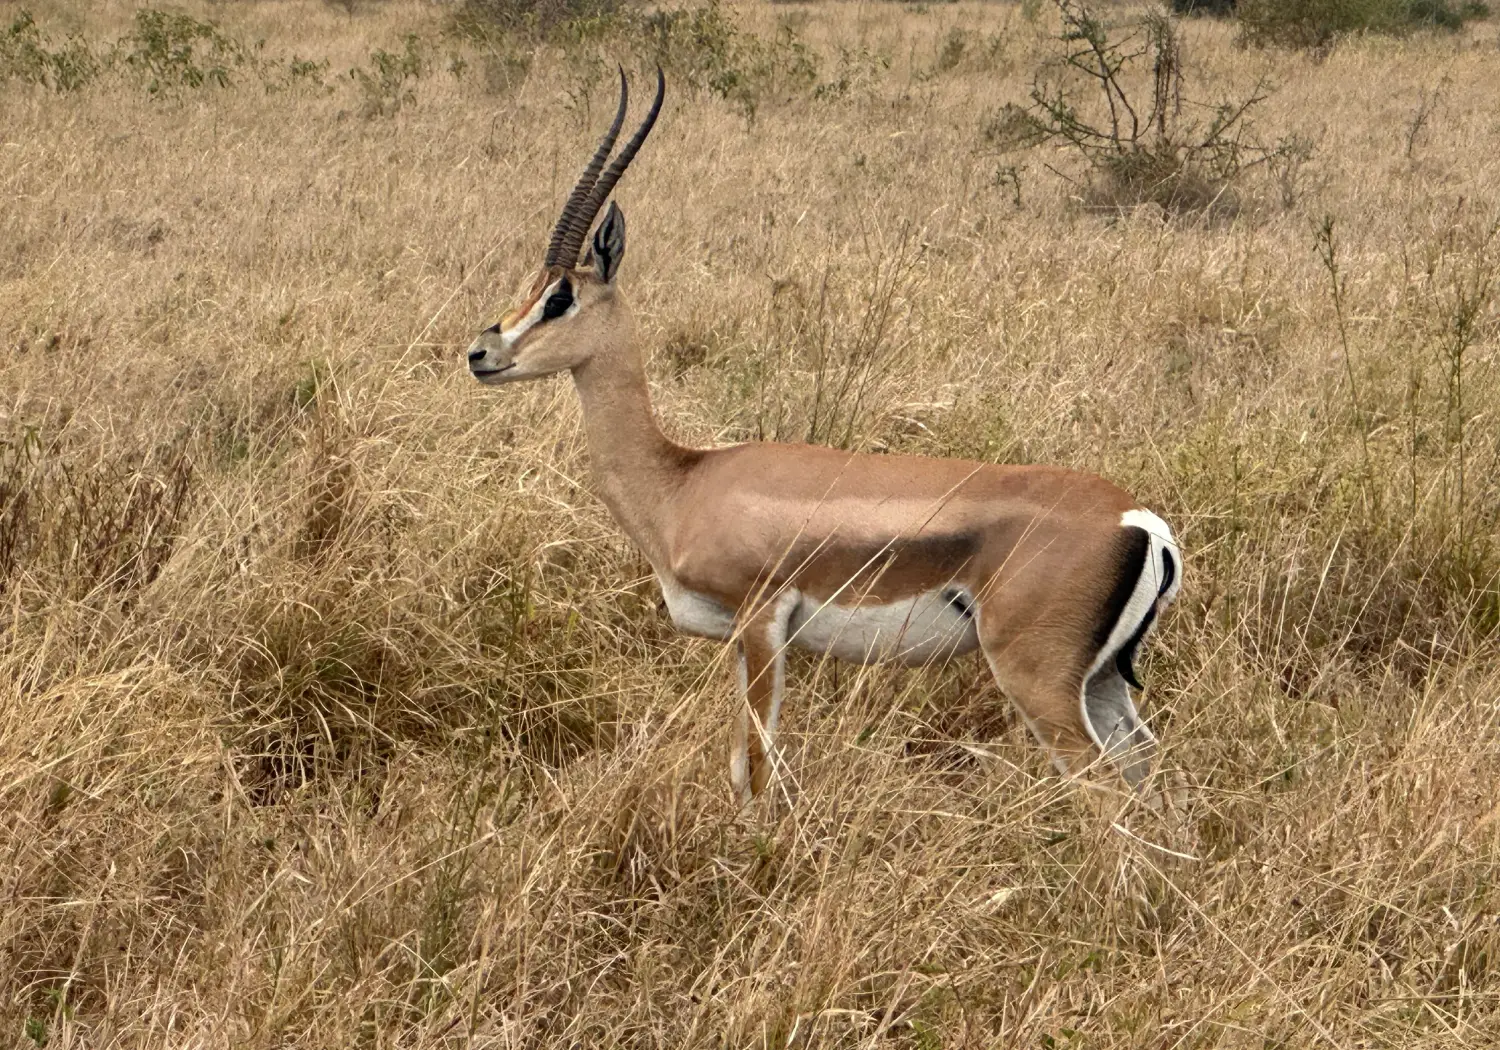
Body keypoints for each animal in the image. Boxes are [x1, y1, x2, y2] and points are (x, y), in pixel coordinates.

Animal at [468, 70, 1182, 804]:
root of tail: (1142, 523)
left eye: (559, 297)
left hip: (1037, 679)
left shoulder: (762, 621)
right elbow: (741, 760)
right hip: (1101, 684)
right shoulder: (739, 638)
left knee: (1105, 788)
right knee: (1150, 770)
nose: (481, 354)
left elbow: (757, 762)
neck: (684, 482)